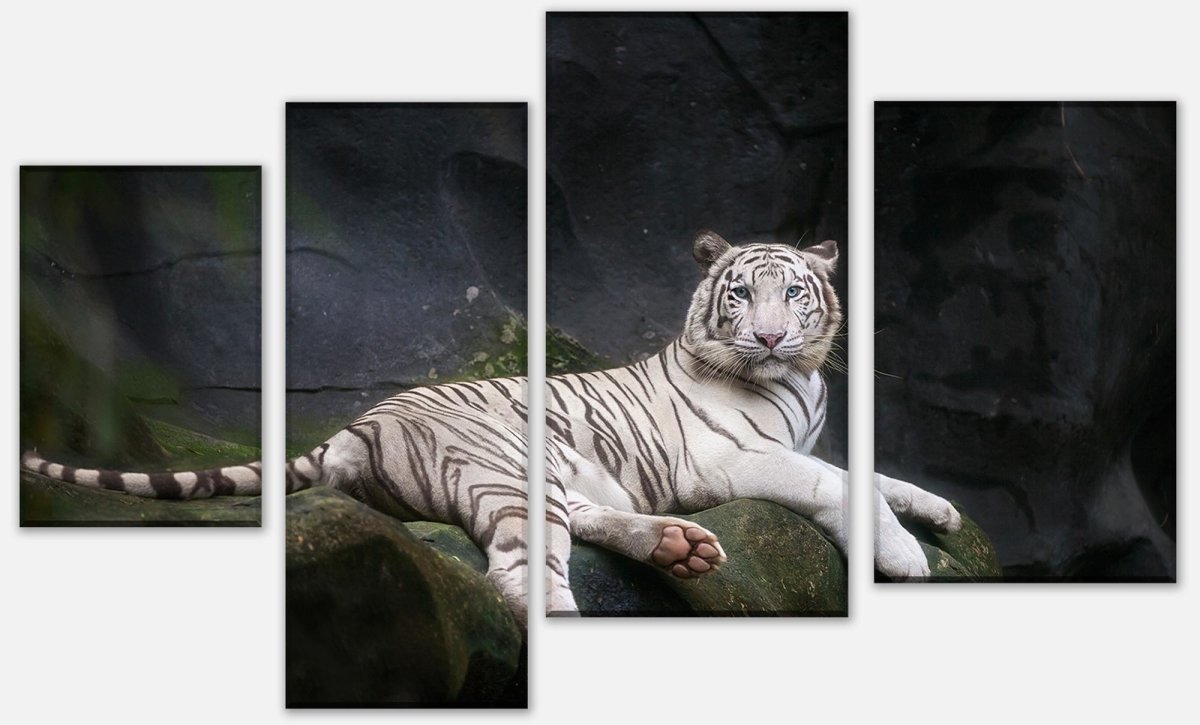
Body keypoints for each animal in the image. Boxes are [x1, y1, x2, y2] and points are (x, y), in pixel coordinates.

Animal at [542, 230, 963, 614]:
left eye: (793, 292)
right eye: (742, 293)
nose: (770, 337)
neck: (799, 378)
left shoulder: (793, 447)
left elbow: (867, 477)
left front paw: (941, 511)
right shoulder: (726, 455)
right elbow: (830, 484)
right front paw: (906, 555)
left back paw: (677, 545)